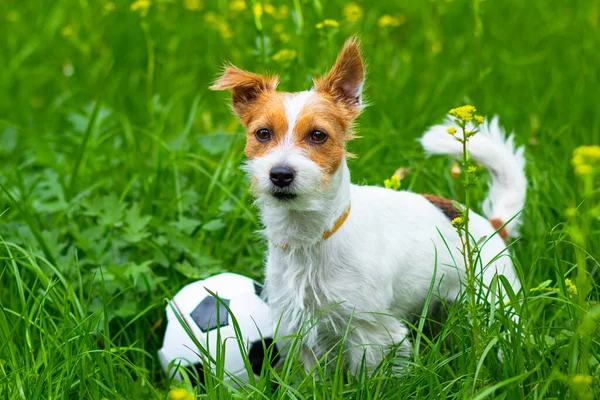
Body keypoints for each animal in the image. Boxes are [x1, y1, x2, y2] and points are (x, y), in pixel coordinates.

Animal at [211, 36, 524, 376]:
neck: (311, 237)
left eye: (318, 135)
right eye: (262, 133)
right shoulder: (299, 330)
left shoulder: (373, 332)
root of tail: (491, 225)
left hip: (495, 298)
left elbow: (370, 375)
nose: (280, 173)